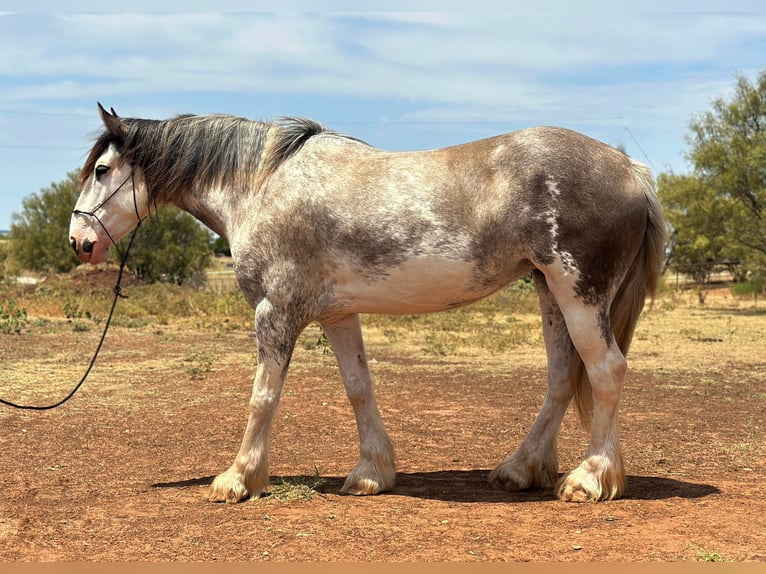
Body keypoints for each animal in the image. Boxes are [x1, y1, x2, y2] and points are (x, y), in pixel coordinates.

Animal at [69, 103, 664, 504]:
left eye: (101, 171)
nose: (80, 242)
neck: (263, 185)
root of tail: (632, 172)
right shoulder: (337, 314)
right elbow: (359, 389)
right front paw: (372, 474)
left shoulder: (276, 312)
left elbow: (263, 397)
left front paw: (238, 479)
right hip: (550, 293)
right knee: (563, 378)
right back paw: (520, 469)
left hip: (578, 293)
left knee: (606, 372)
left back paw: (589, 479)